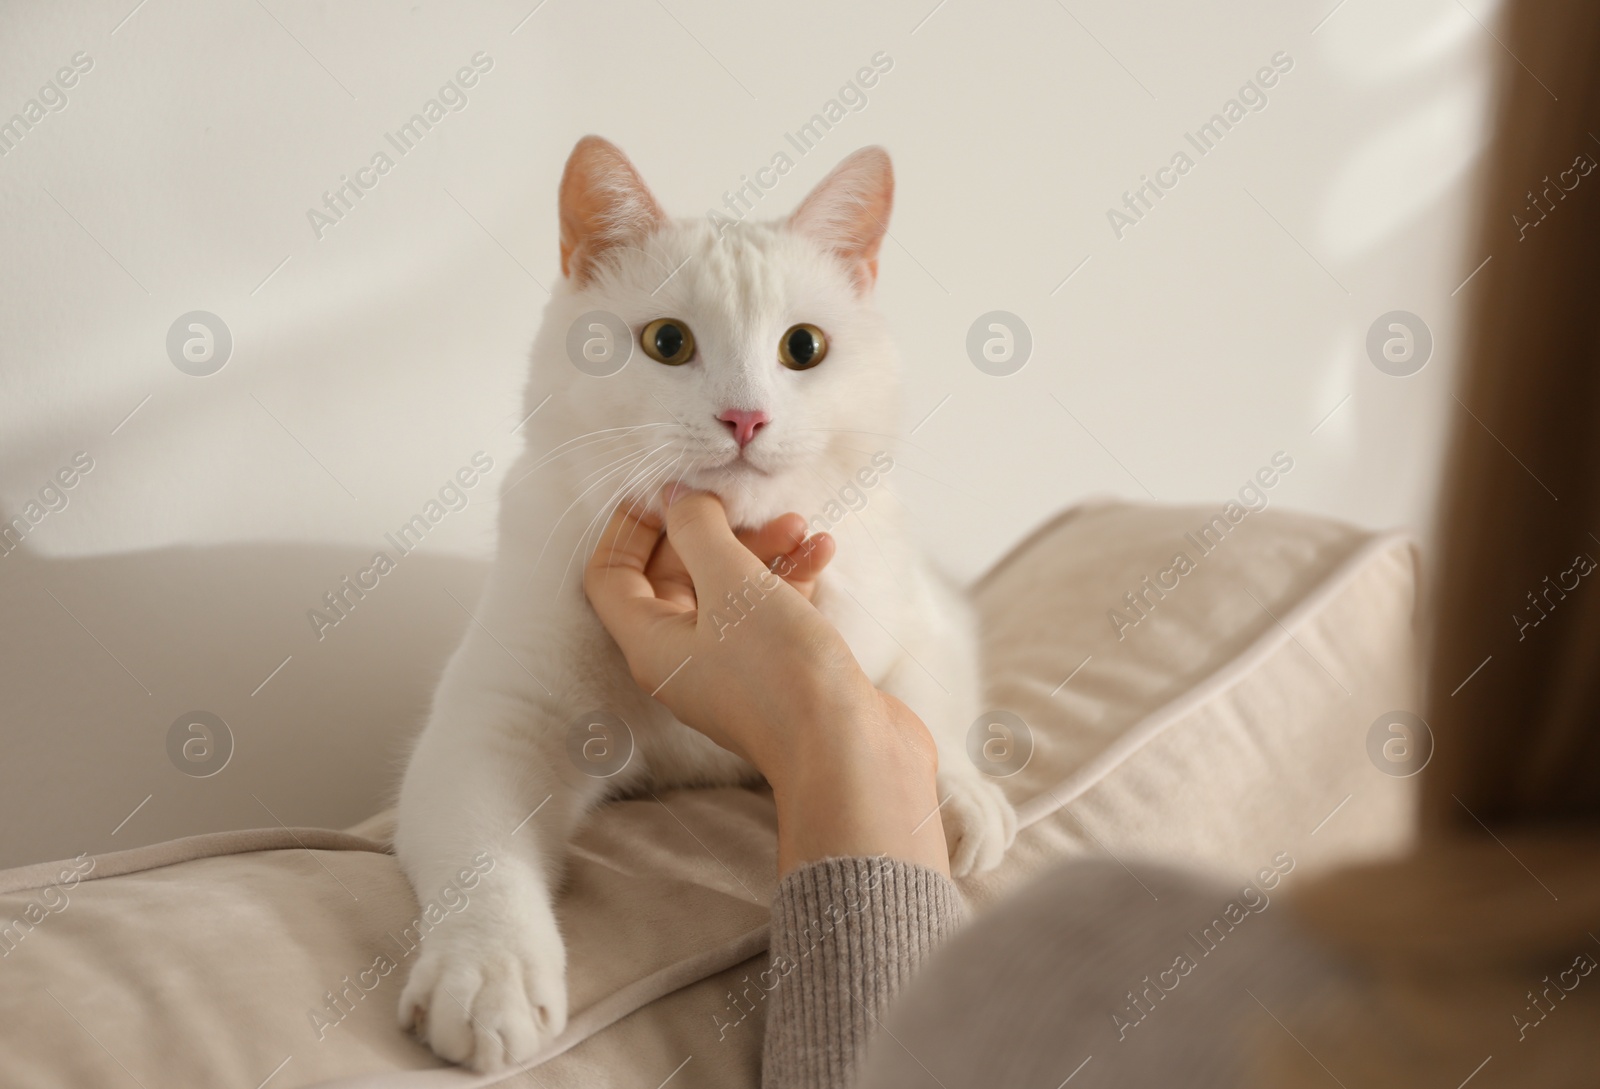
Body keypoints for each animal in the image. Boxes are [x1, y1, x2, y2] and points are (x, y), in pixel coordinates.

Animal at [392, 135, 1011, 1068]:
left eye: (804, 346)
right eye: (667, 341)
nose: (745, 418)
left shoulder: (925, 617)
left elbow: (917, 705)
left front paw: (963, 796)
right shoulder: (495, 720)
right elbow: (483, 861)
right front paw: (489, 975)